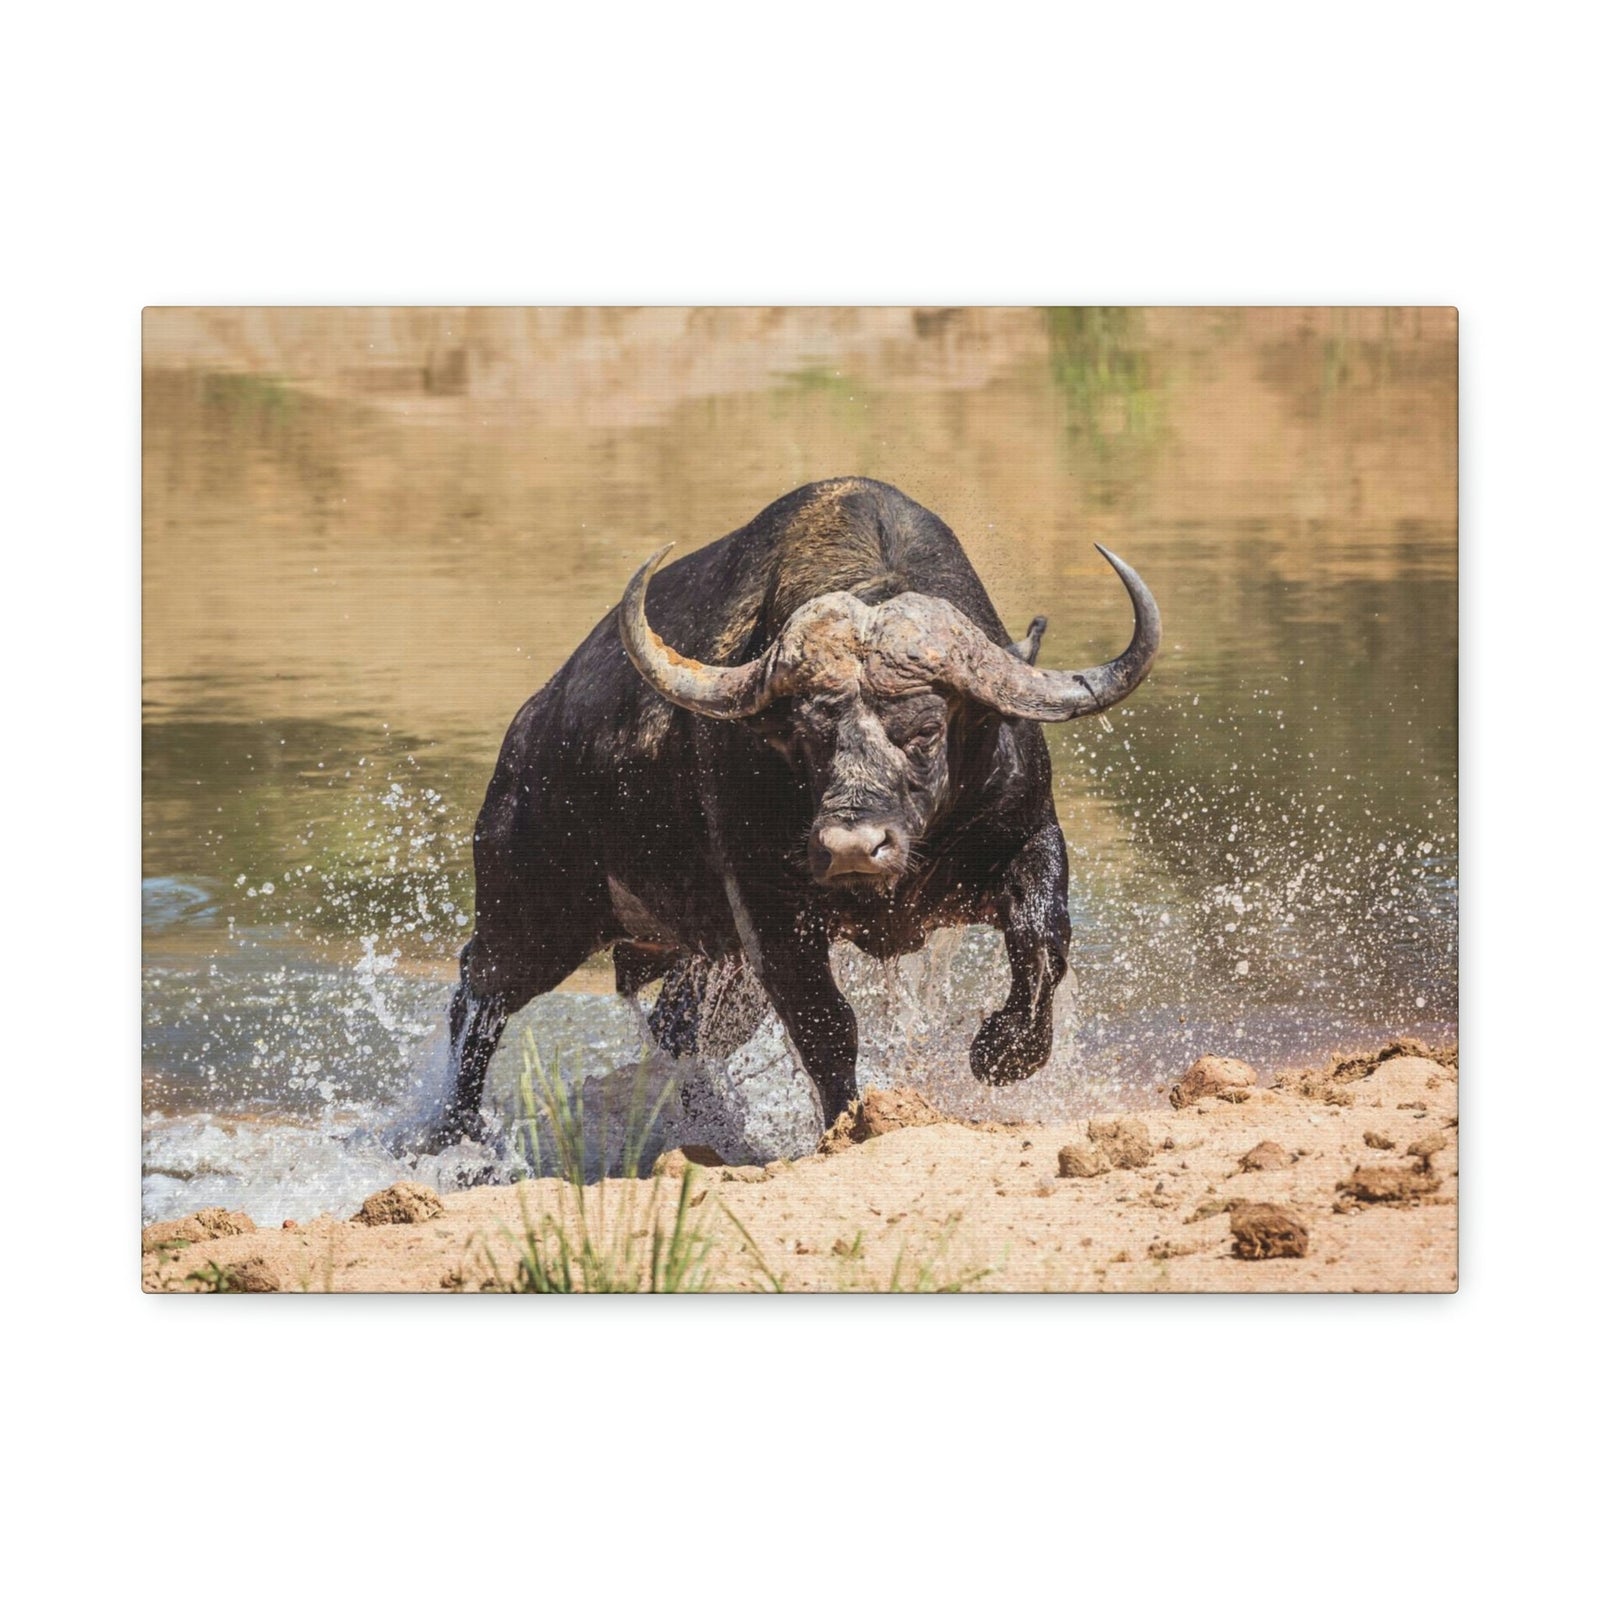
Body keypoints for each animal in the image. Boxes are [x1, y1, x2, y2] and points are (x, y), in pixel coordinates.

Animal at [435, 478, 1160, 1146]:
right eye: (806, 736)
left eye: (926, 729)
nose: (852, 848)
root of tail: (528, 731)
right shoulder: (769, 911)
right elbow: (825, 1025)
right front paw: (849, 1123)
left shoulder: (1028, 837)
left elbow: (1042, 942)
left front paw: (1002, 1053)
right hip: (534, 915)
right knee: (479, 996)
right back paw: (455, 1137)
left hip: (702, 961)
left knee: (677, 1030)